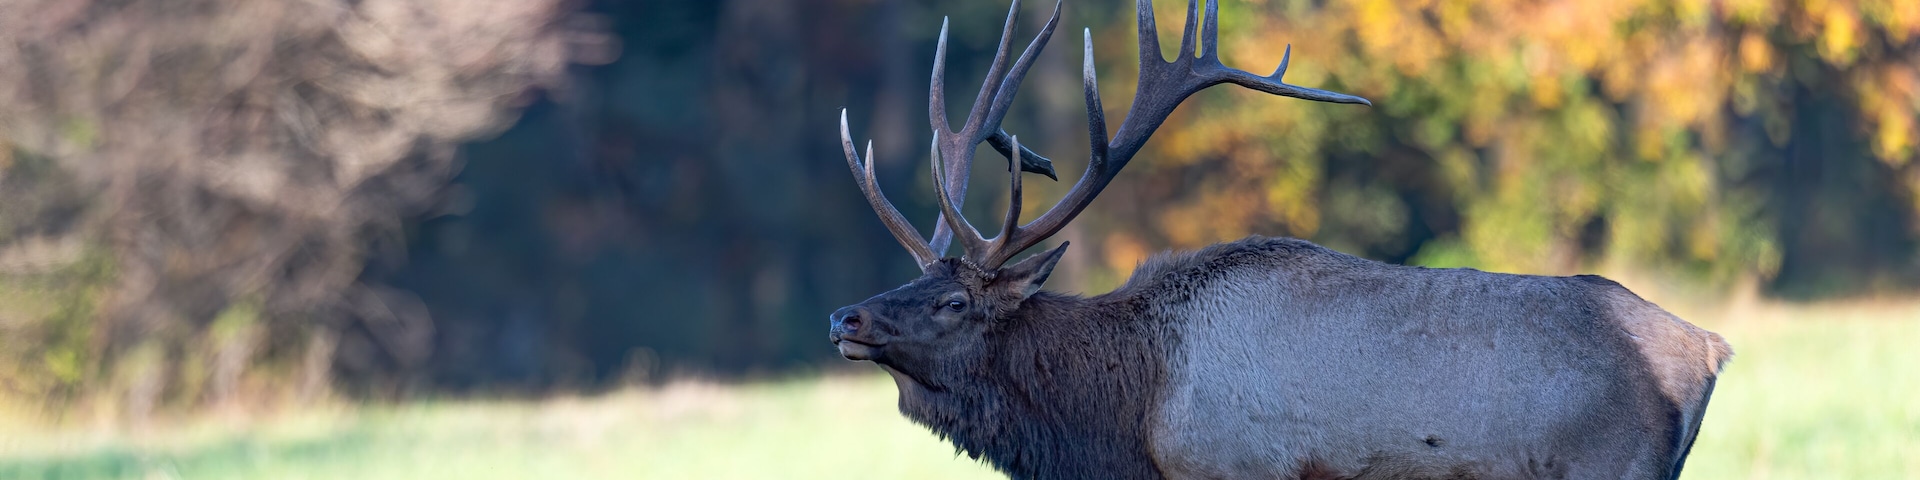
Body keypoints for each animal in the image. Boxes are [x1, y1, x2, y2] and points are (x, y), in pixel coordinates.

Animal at [827, 1, 1732, 479]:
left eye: (953, 300)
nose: (845, 317)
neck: (1128, 424)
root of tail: (1709, 347)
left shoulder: (1234, 465)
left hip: (1605, 465)